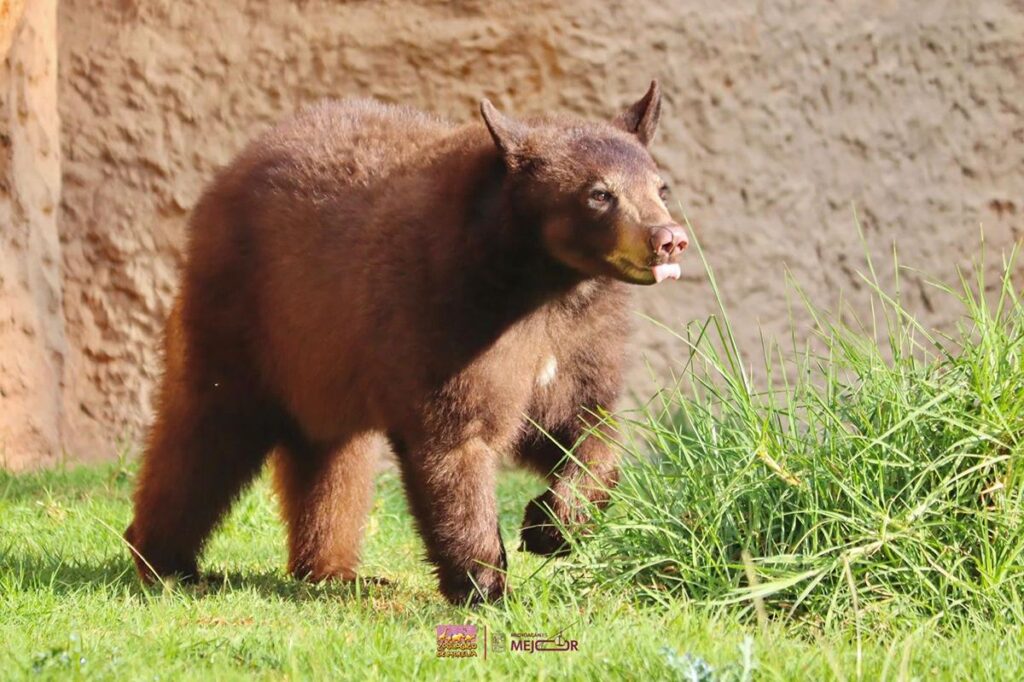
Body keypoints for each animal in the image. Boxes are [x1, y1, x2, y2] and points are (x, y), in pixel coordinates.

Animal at [125, 78, 688, 602]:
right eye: (599, 194)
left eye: (660, 189)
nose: (669, 238)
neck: (546, 286)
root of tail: (227, 172)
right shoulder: (445, 318)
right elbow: (456, 444)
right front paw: (488, 586)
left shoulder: (581, 339)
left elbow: (584, 424)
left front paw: (550, 525)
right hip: (243, 315)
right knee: (205, 430)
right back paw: (165, 562)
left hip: (326, 356)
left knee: (332, 459)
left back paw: (335, 571)